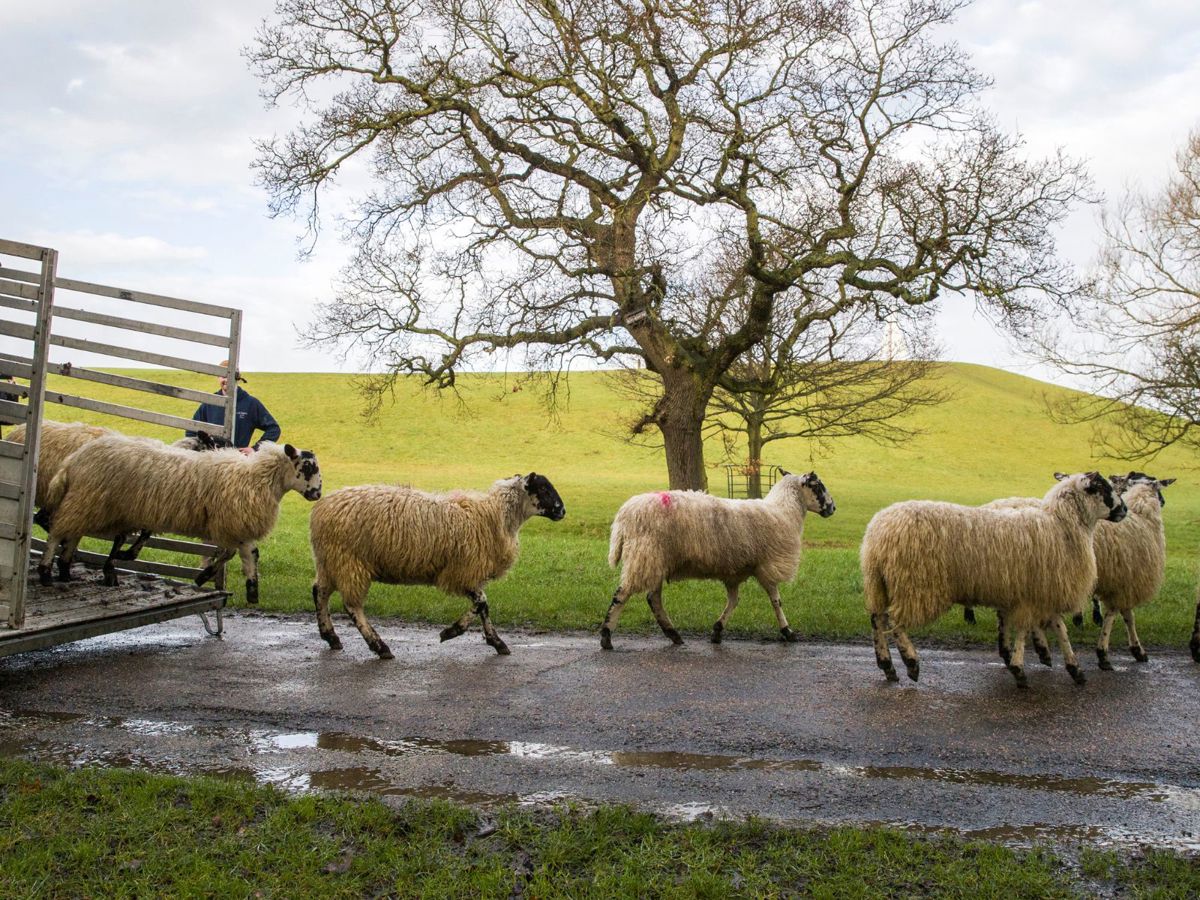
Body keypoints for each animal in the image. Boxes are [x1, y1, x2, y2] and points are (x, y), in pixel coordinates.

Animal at [36, 437, 321, 597]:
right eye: (307, 467)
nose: (318, 493)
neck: (256, 478)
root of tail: (74, 459)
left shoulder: (238, 527)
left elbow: (247, 555)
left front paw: (251, 590)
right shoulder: (230, 523)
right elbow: (233, 553)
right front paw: (205, 577)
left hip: (89, 503)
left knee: (73, 532)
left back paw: (65, 569)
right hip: (87, 500)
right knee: (57, 532)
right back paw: (46, 572)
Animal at [309, 473, 566, 659]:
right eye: (543, 488)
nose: (562, 511)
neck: (494, 515)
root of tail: (321, 509)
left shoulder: (467, 574)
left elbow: (483, 607)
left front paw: (496, 642)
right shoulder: (461, 573)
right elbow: (482, 603)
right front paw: (453, 632)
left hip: (329, 561)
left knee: (319, 592)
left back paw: (331, 637)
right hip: (349, 561)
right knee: (352, 606)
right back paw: (380, 647)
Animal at [600, 471, 836, 650]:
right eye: (819, 486)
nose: (833, 508)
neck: (785, 511)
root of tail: (624, 516)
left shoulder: (735, 571)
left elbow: (733, 600)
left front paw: (717, 631)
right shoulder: (766, 565)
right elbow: (776, 600)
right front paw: (788, 631)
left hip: (655, 559)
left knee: (653, 598)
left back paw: (673, 634)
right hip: (645, 555)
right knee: (623, 594)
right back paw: (606, 636)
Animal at [861, 472, 1126, 688]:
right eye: (1102, 487)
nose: (1124, 510)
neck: (1062, 526)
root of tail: (878, 532)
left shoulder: (1039, 591)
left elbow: (1057, 628)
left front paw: (1074, 668)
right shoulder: (1033, 593)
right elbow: (1027, 628)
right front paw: (1020, 670)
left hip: (880, 583)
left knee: (877, 617)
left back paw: (887, 666)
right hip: (916, 585)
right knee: (894, 621)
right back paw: (911, 662)